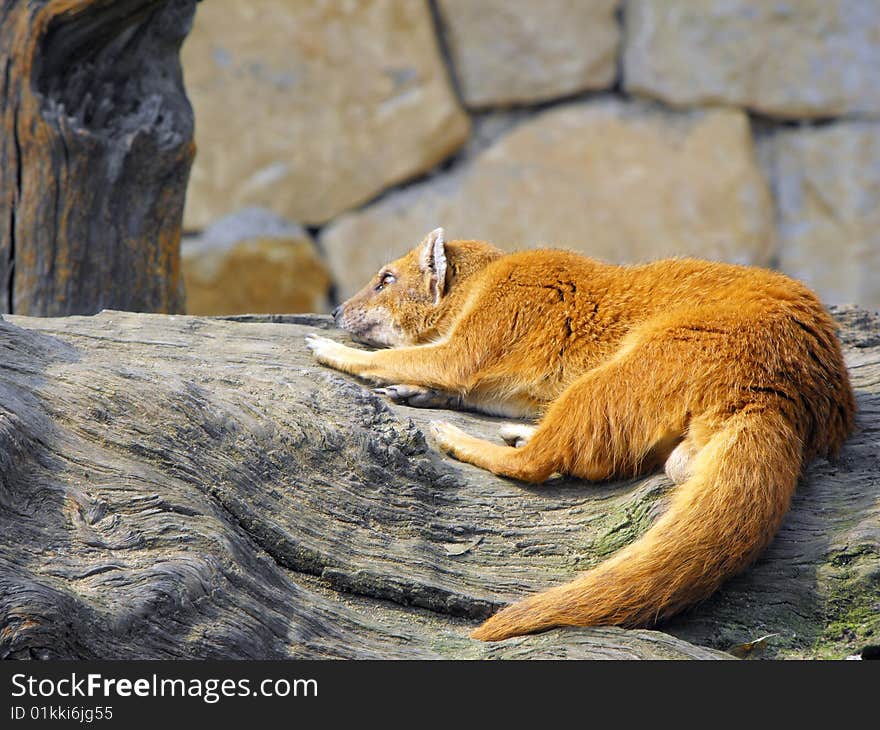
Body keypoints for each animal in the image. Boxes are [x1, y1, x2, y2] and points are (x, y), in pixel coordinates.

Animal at [306, 226, 856, 636]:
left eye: (384, 278)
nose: (334, 311)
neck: (485, 281)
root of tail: (781, 396)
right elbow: (441, 379)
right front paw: (413, 391)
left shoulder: (486, 329)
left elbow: (407, 358)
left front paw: (330, 348)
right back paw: (514, 431)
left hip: (624, 369)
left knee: (538, 464)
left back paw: (459, 437)